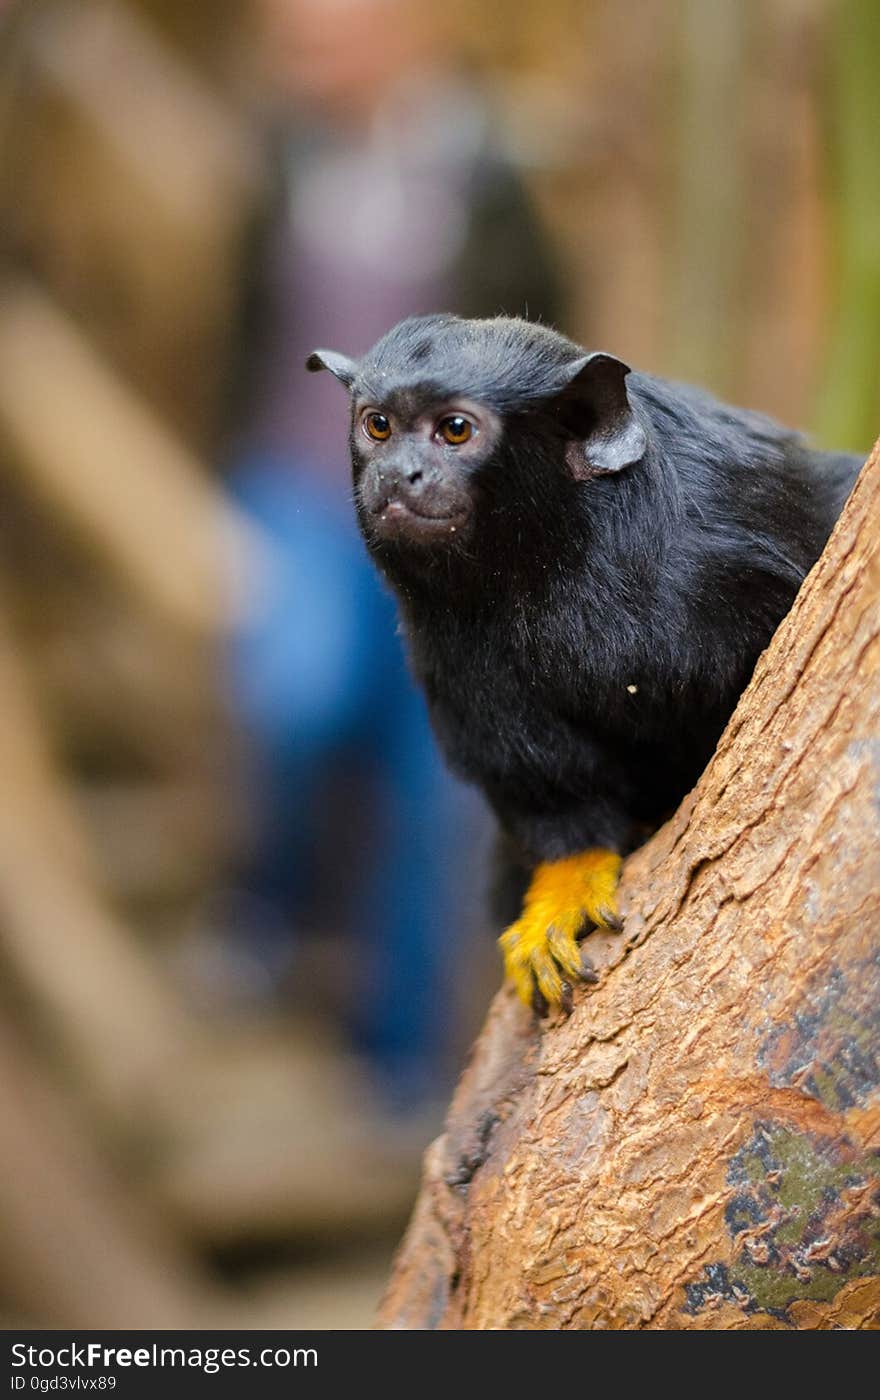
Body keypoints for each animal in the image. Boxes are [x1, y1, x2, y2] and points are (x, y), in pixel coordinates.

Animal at [304, 317, 861, 1013]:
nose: (397, 474)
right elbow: (550, 788)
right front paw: (566, 885)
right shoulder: (453, 649)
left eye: (454, 431)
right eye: (377, 426)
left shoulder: (726, 543)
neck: (558, 556)